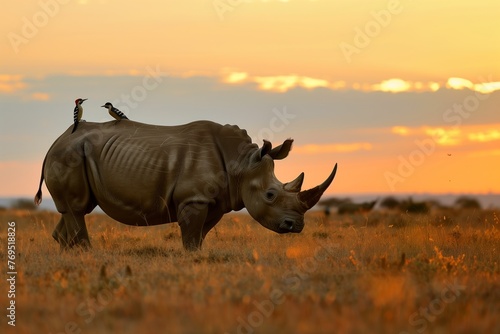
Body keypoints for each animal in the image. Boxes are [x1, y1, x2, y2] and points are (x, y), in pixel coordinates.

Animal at [35, 120, 338, 250]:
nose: (296, 226)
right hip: (69, 155)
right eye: (270, 195)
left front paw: (198, 259)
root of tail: (57, 139)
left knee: (76, 209)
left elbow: (200, 236)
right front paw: (191, 260)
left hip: (76, 154)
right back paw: (87, 255)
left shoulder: (214, 202)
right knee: (76, 209)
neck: (241, 164)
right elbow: (191, 237)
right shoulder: (194, 198)